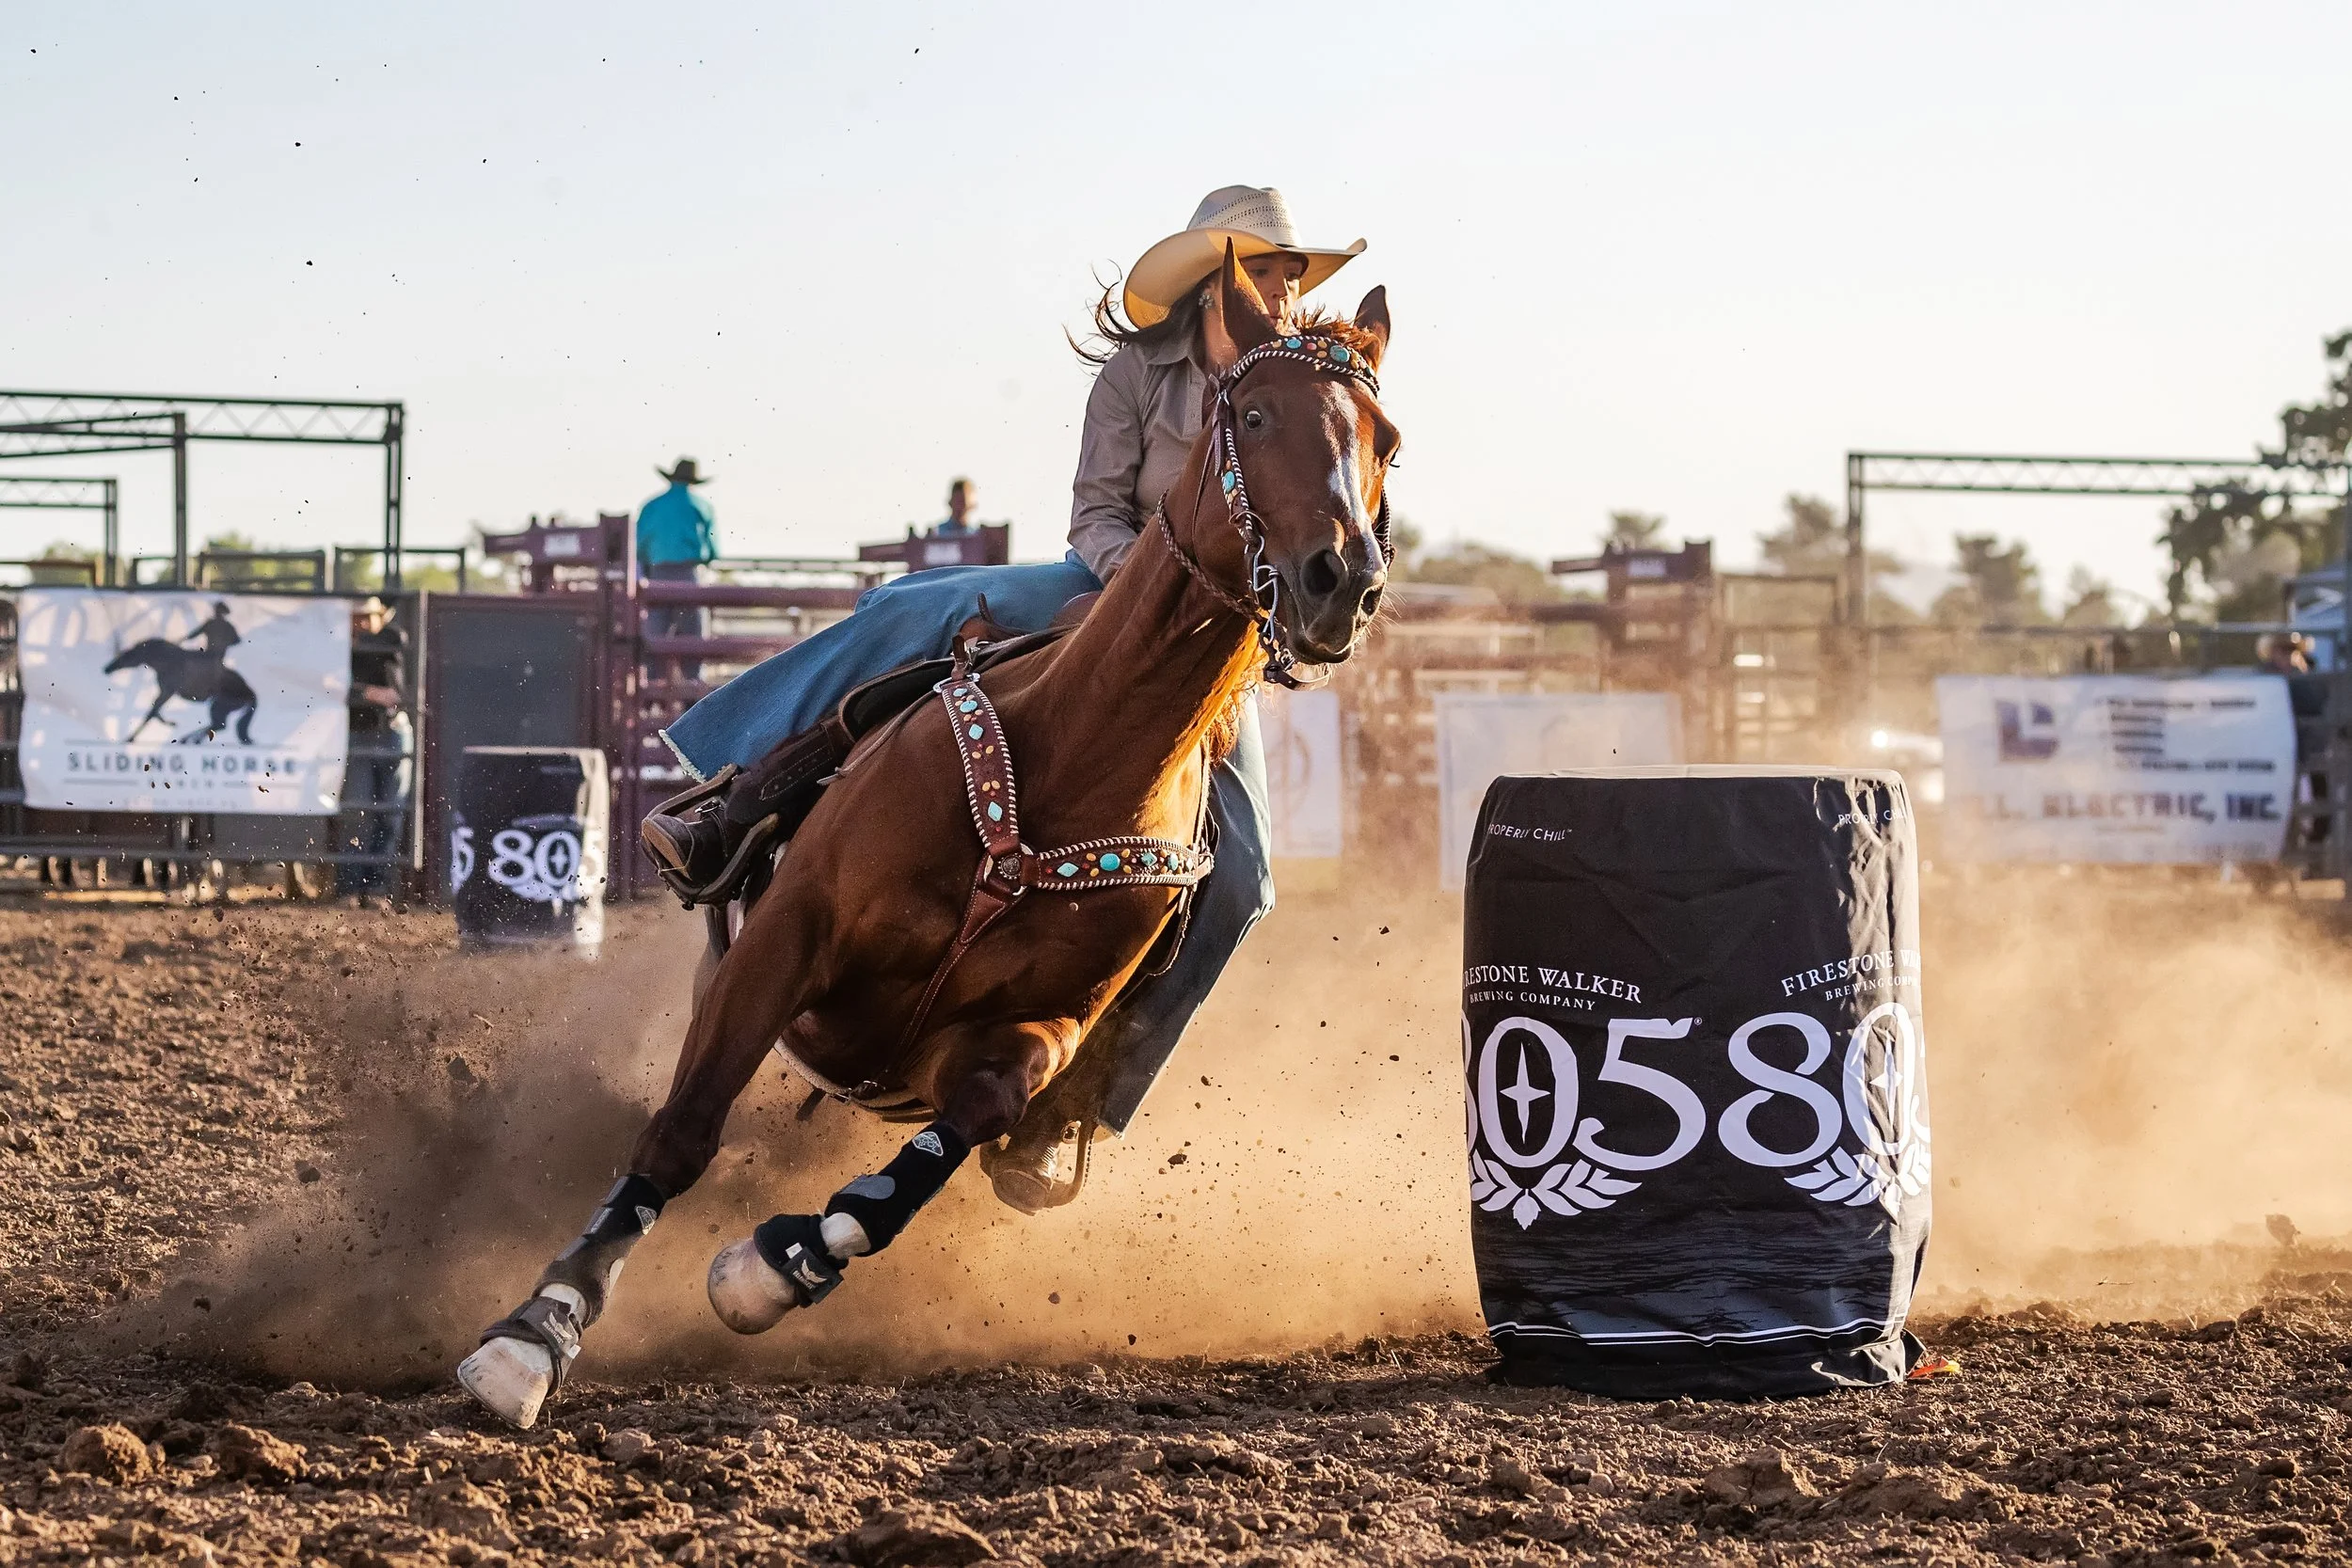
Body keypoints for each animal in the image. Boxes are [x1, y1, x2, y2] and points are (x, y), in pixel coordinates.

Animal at [105, 639, 259, 745]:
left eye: (127, 655)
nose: (107, 668)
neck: (166, 661)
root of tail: (252, 694)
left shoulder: (169, 691)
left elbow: (152, 712)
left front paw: (130, 738)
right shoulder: (164, 691)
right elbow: (154, 710)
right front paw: (168, 722)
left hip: (219, 706)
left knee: (219, 725)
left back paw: (188, 739)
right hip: (221, 707)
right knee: (218, 725)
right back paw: (189, 739)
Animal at [458, 248, 1399, 1428]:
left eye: (1387, 440)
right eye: (1258, 412)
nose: (1341, 581)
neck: (1073, 762)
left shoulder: (1038, 1031)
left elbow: (957, 1129)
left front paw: (780, 1261)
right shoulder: (784, 941)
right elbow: (680, 1129)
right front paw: (534, 1332)